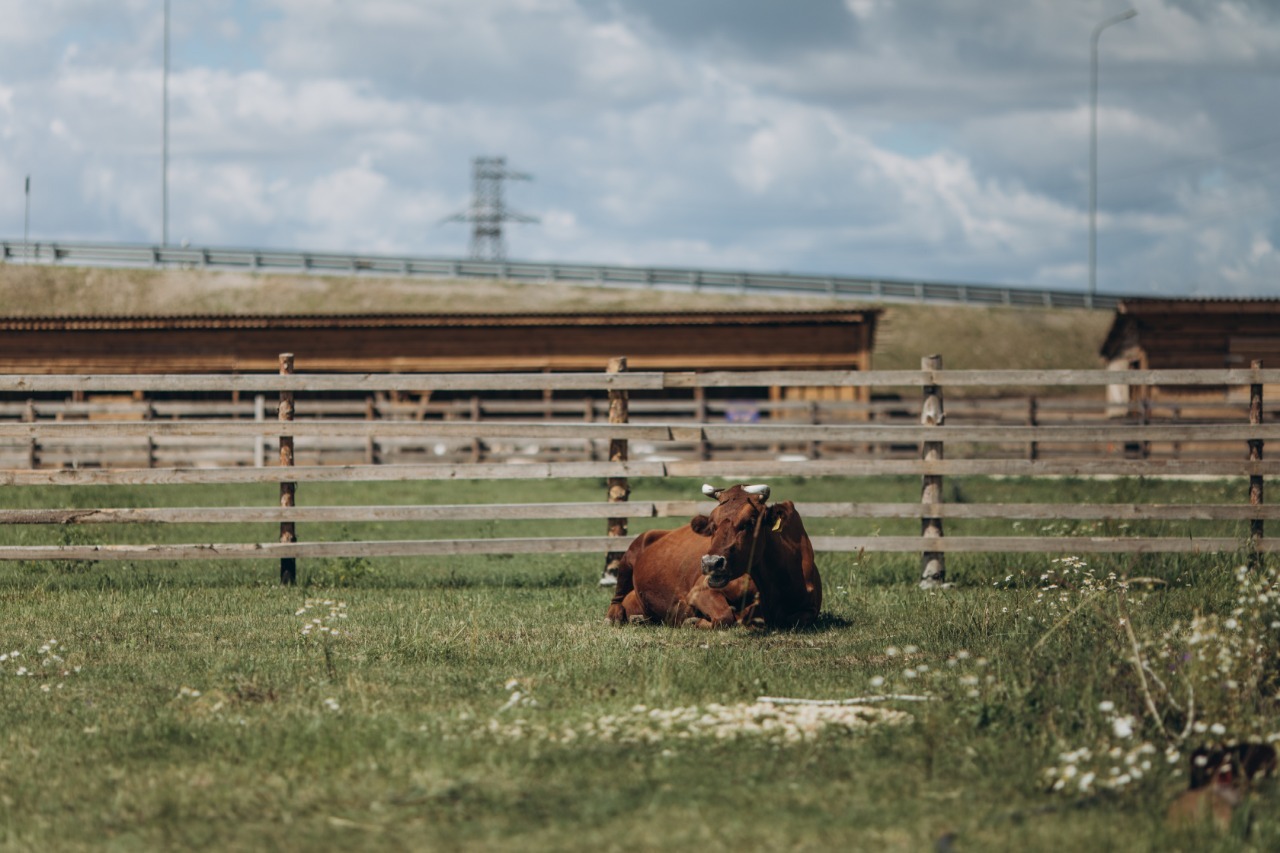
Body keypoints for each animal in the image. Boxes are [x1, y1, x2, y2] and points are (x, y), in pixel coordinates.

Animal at [604, 481, 824, 627]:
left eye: (750, 521)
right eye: (712, 524)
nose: (711, 563)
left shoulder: (810, 609)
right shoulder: (700, 590)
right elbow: (725, 617)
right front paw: (694, 620)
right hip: (628, 557)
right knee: (616, 599)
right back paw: (615, 617)